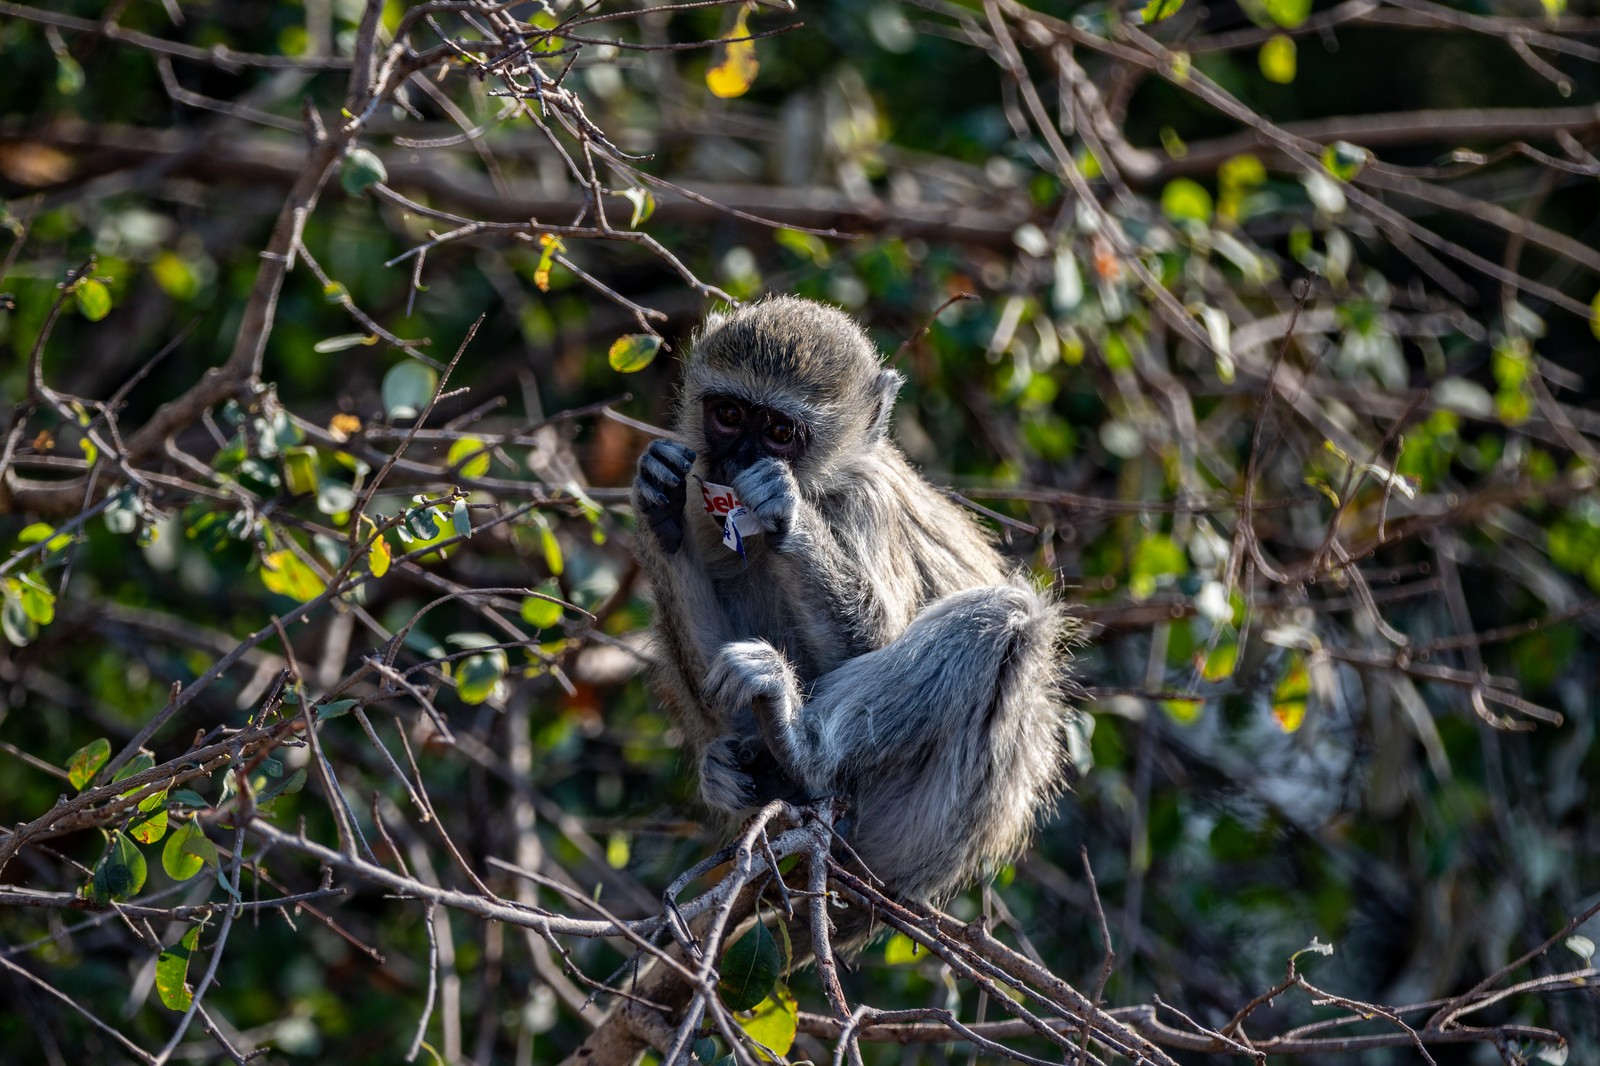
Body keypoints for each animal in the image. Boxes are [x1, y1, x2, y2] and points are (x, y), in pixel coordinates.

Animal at [627, 294, 1075, 909]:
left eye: (779, 430)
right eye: (729, 414)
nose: (736, 465)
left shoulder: (868, 500)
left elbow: (876, 641)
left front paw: (785, 514)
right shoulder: (705, 499)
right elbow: (714, 698)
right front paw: (658, 504)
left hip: (928, 821)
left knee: (1008, 619)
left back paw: (798, 747)